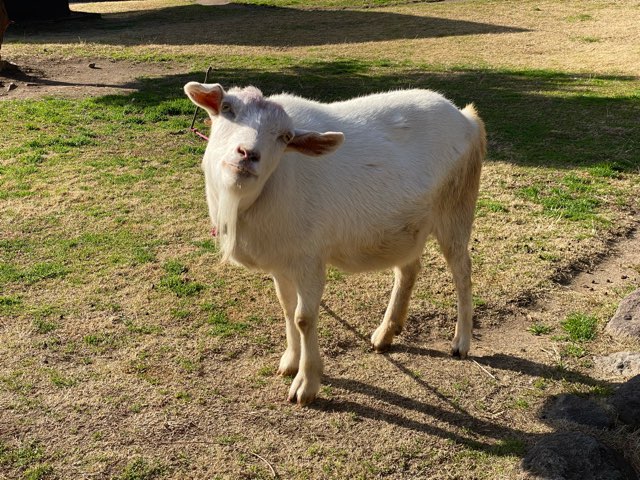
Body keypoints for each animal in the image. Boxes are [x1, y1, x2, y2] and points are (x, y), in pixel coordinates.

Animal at [184, 82, 484, 404]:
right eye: (227, 108)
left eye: (285, 136)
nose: (248, 154)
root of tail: (467, 118)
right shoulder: (281, 259)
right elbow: (287, 308)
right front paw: (289, 362)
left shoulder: (310, 258)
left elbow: (303, 317)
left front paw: (306, 384)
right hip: (407, 225)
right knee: (408, 270)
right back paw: (385, 333)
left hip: (455, 208)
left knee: (462, 271)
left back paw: (461, 342)